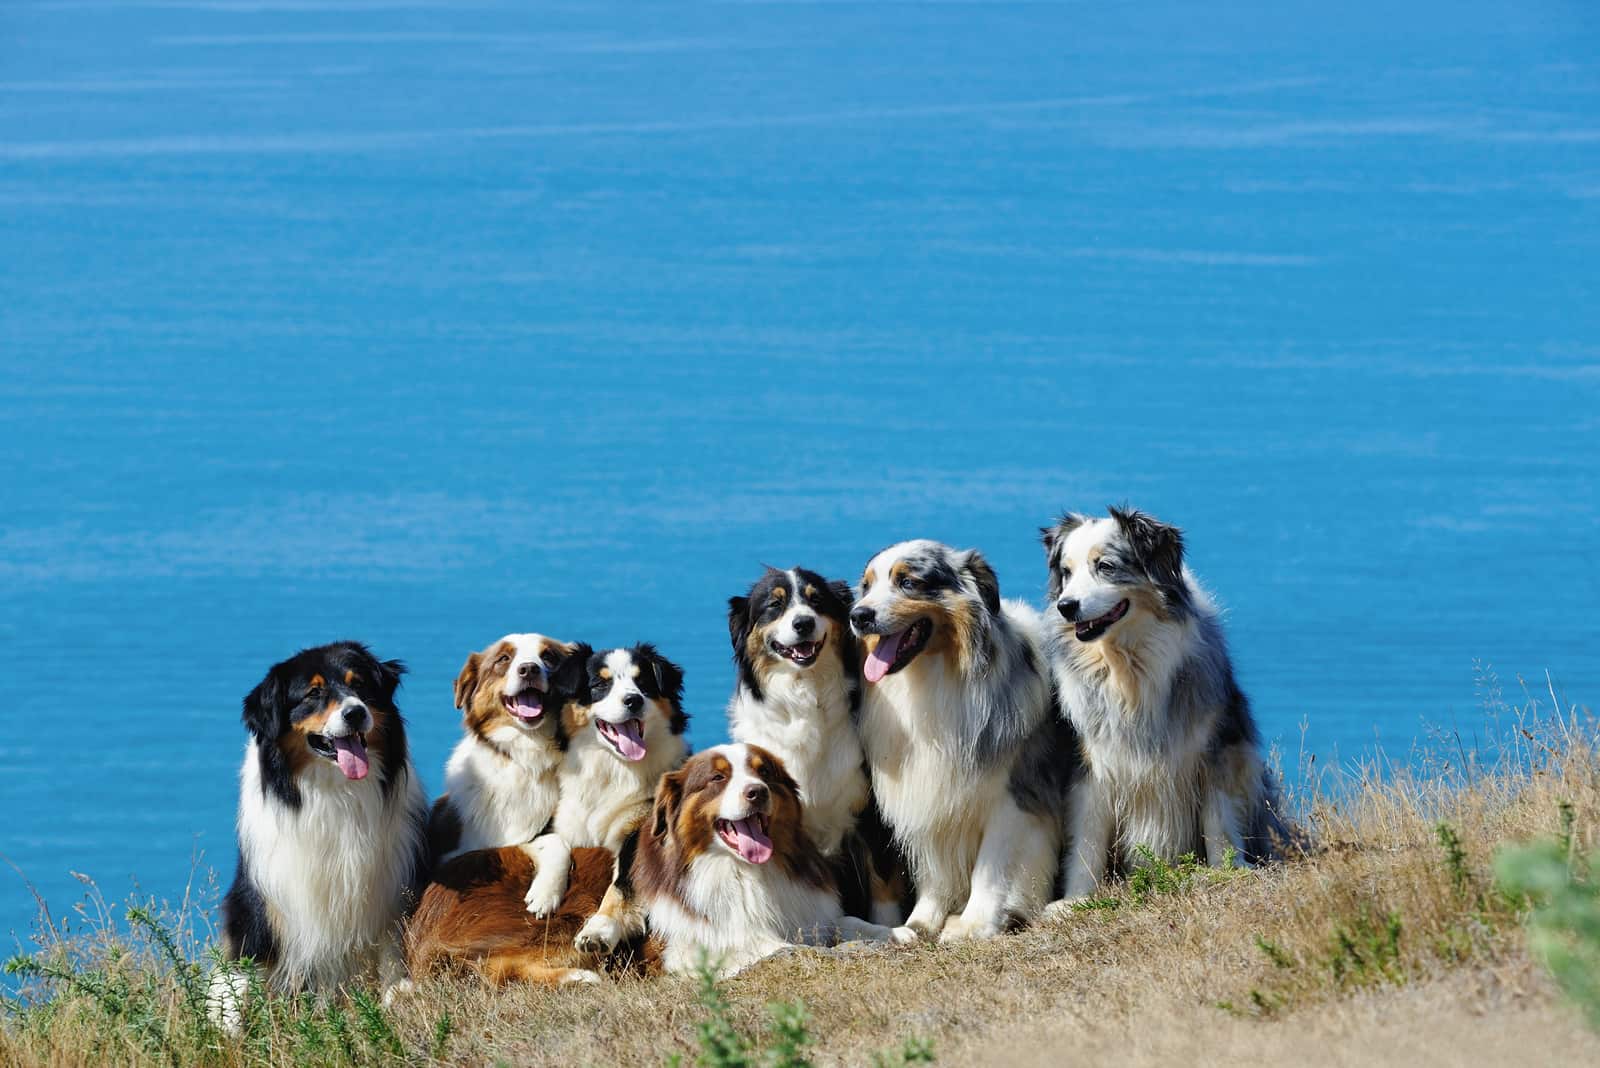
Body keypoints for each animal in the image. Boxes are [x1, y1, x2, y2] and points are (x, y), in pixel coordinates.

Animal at [209, 639, 428, 1029]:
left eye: (360, 685)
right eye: (313, 693)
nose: (355, 713)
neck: (334, 791)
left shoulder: (393, 891)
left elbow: (393, 952)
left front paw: (396, 997)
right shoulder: (261, 897)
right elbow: (242, 971)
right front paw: (229, 1023)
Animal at [851, 543, 1075, 940]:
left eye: (907, 582)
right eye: (866, 586)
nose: (858, 616)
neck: (935, 677)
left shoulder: (1013, 799)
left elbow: (992, 867)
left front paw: (973, 925)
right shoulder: (929, 790)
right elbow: (934, 871)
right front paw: (921, 922)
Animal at [1036, 508, 1286, 908]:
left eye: (1105, 566)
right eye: (1067, 572)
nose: (1066, 606)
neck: (1128, 667)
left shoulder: (1216, 744)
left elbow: (1218, 816)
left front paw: (1225, 872)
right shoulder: (1089, 759)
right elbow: (1087, 835)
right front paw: (1075, 900)